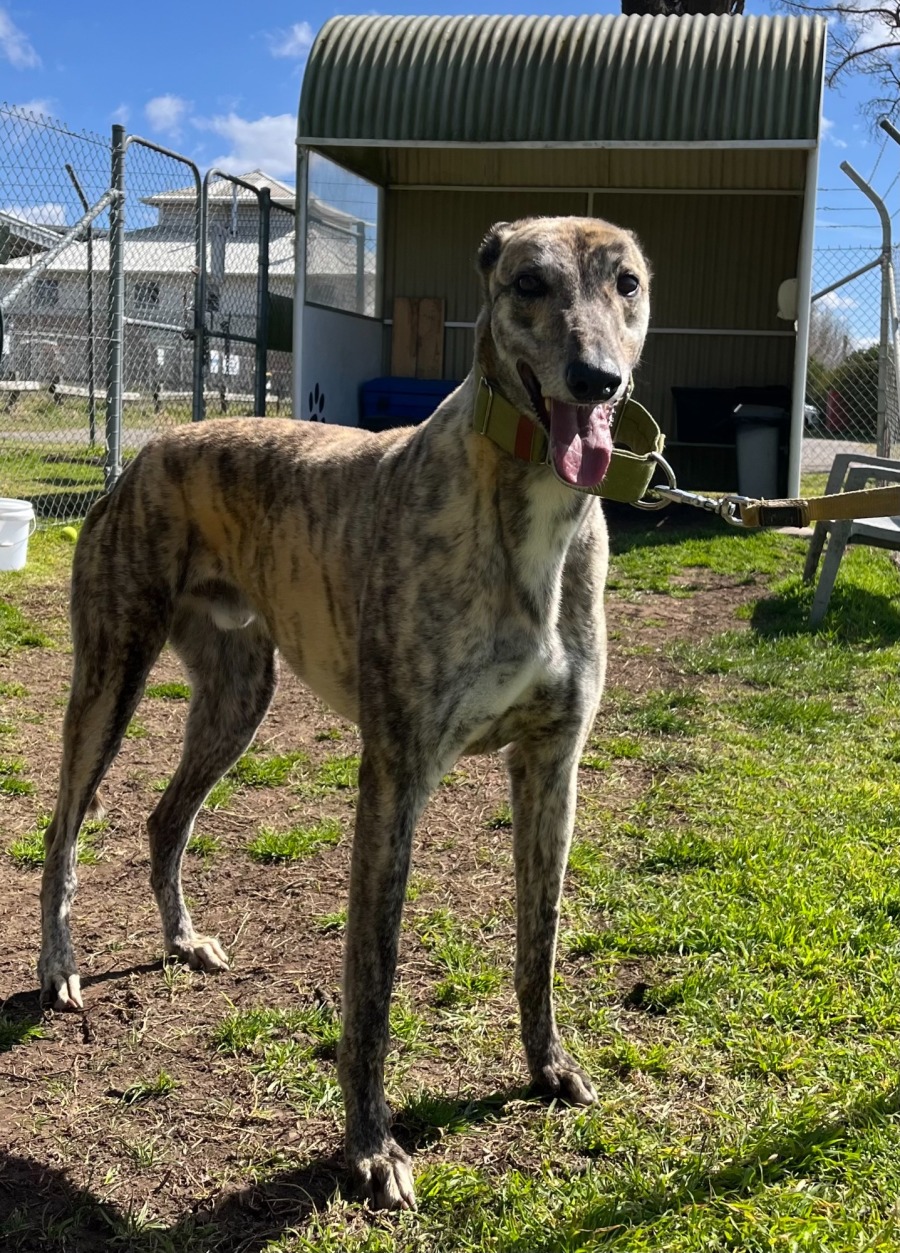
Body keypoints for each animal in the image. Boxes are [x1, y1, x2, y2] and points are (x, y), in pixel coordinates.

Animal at [38, 215, 651, 1210]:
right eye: (529, 282)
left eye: (626, 283)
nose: (597, 379)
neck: (531, 515)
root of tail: (153, 447)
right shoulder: (395, 778)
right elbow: (373, 980)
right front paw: (370, 1146)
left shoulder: (551, 765)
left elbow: (541, 938)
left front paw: (549, 1066)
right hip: (109, 677)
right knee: (65, 828)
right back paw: (58, 966)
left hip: (238, 697)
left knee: (166, 816)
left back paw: (183, 938)